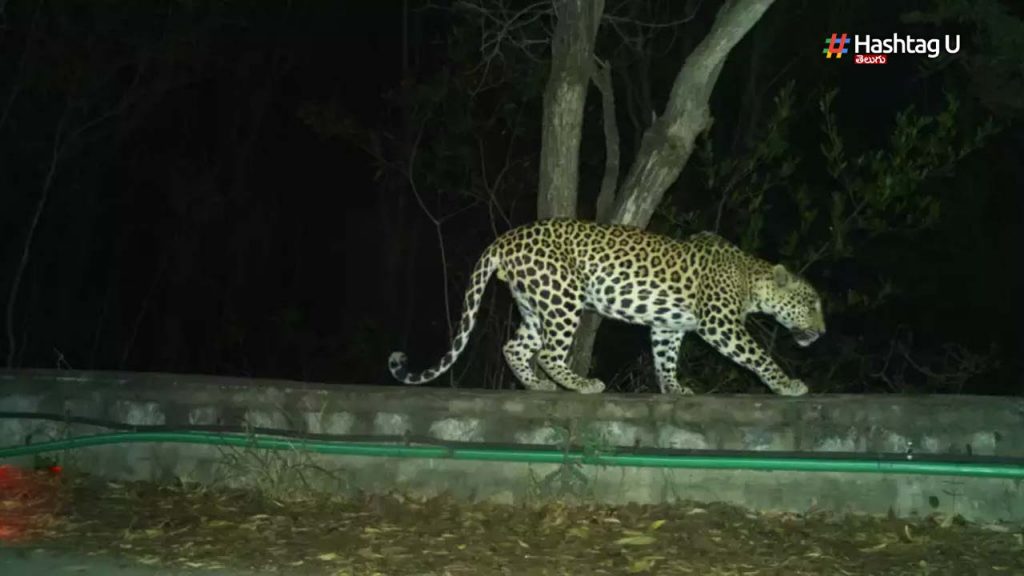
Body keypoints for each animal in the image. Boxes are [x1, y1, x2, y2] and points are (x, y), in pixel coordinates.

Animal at [387, 217, 827, 391]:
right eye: (811, 304)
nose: (822, 333)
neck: (753, 278)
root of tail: (506, 238)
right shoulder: (721, 324)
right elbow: (758, 355)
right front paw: (787, 384)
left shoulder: (667, 325)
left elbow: (665, 357)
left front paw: (673, 389)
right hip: (563, 296)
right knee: (548, 352)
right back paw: (581, 384)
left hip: (535, 303)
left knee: (515, 346)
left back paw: (538, 385)